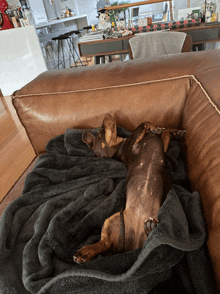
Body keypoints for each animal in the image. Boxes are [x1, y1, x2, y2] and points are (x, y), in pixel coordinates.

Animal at [72, 113, 186, 262]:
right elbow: (142, 123)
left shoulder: (162, 147)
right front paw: (154, 127)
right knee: (104, 242)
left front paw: (172, 132)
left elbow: (164, 134)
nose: (107, 114)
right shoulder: (132, 143)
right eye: (101, 132)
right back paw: (85, 251)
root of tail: (132, 246)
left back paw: (150, 228)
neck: (119, 145)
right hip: (111, 220)